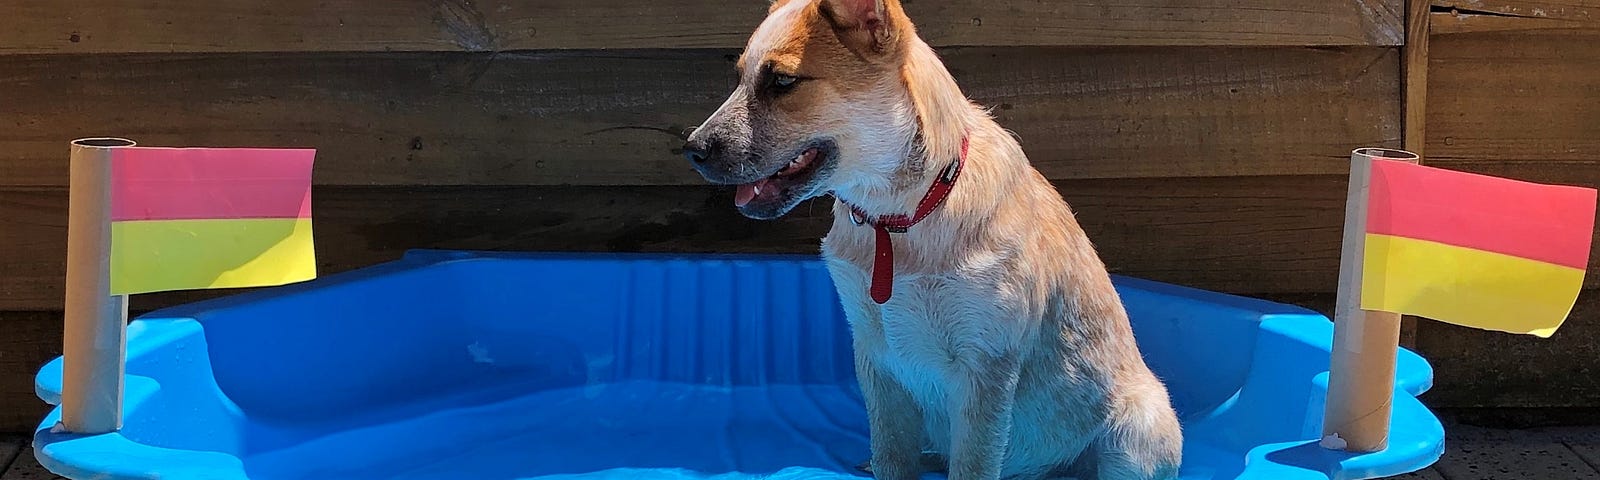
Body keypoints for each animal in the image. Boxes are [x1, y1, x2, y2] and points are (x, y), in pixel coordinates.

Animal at [681, 0, 1184, 476]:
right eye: (740, 78)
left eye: (782, 82)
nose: (692, 150)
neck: (897, 219)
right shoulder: (875, 355)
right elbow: (891, 453)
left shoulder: (985, 367)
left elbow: (972, 463)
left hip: (1138, 431)